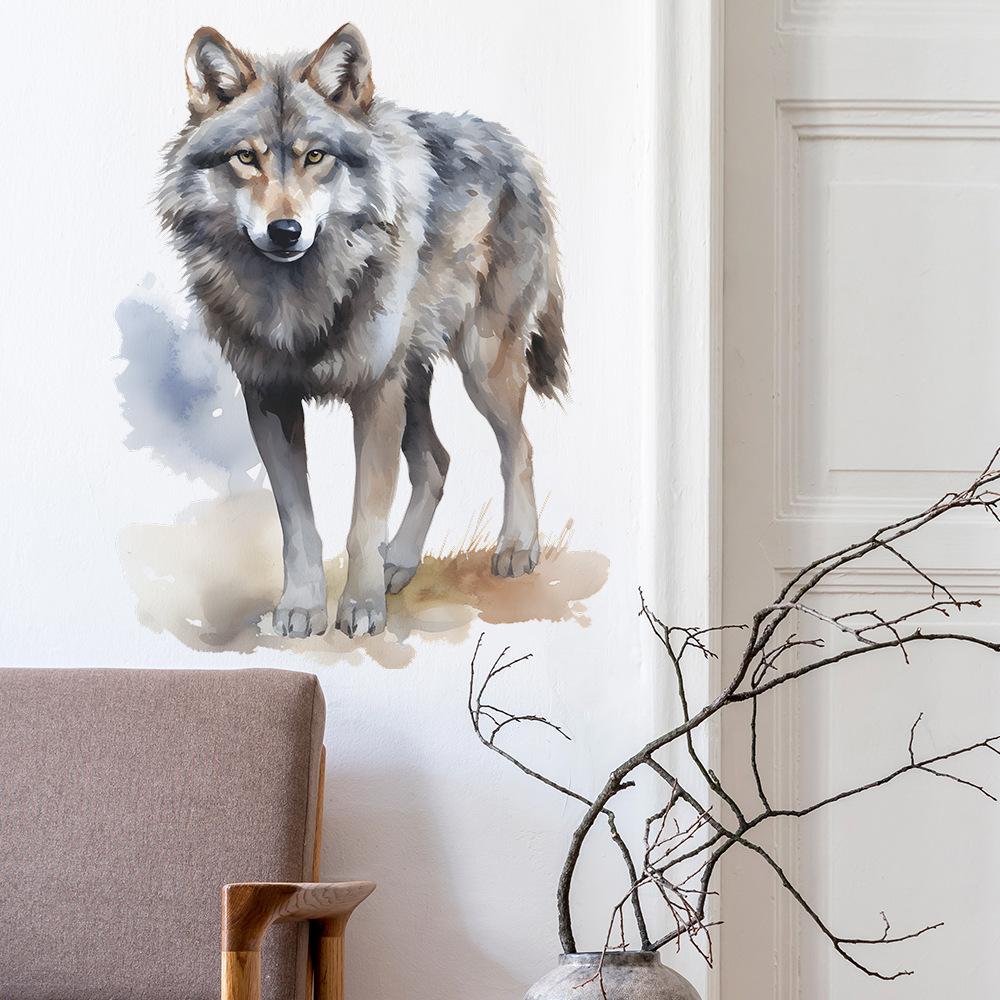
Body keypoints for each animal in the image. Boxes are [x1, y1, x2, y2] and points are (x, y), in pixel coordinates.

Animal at [158, 24, 567, 638]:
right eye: (246, 158)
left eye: (316, 157)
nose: (285, 230)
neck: (295, 298)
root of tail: (513, 147)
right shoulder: (269, 400)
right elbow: (298, 525)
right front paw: (301, 608)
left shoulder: (374, 394)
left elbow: (362, 522)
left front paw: (361, 607)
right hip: (413, 378)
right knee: (436, 464)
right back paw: (401, 562)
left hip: (480, 367)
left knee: (519, 446)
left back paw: (517, 547)